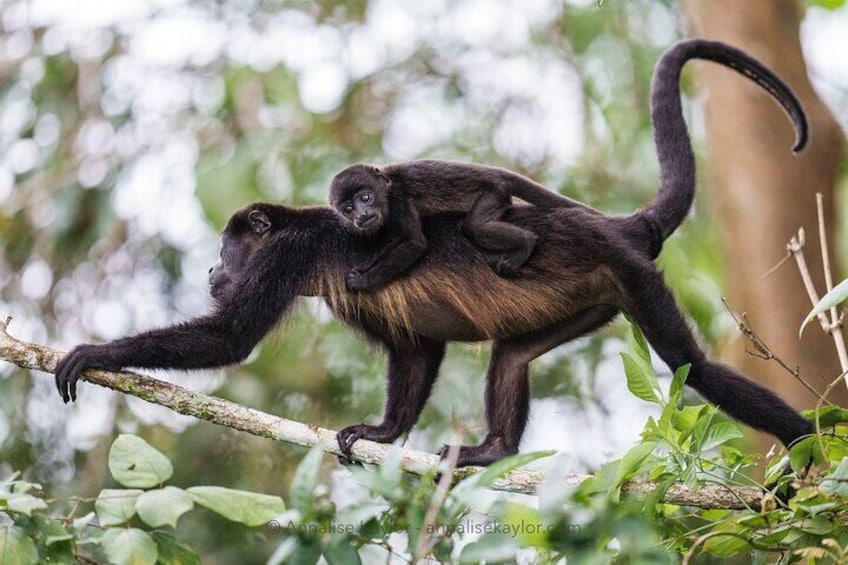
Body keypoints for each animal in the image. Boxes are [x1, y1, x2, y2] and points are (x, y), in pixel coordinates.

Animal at [328, 161, 592, 288]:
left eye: (365, 198)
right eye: (348, 209)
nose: (362, 215)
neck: (387, 188)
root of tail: (495, 172)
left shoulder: (400, 199)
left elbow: (414, 243)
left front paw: (364, 281)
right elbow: (393, 241)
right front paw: (366, 266)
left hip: (494, 193)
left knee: (474, 227)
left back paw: (526, 244)